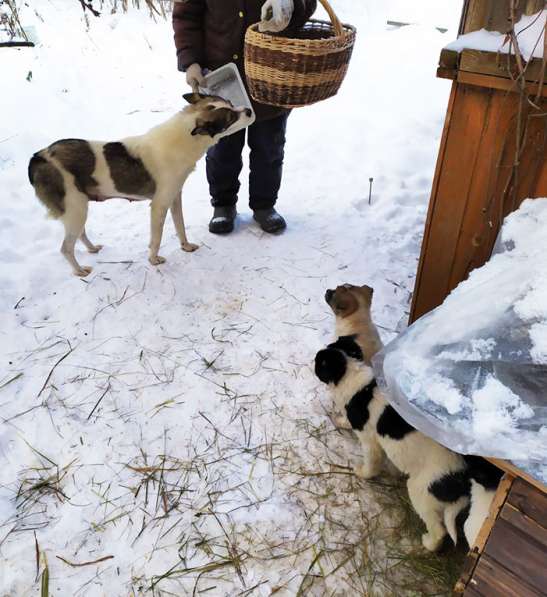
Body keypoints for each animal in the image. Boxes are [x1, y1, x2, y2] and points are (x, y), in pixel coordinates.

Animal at [28, 93, 254, 278]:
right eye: (230, 118)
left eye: (231, 103)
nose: (249, 110)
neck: (184, 140)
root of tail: (39, 156)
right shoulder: (159, 205)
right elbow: (157, 237)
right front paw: (154, 260)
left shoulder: (174, 197)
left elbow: (180, 227)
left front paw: (186, 246)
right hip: (75, 210)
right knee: (66, 248)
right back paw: (79, 270)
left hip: (78, 208)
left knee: (80, 235)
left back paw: (92, 249)